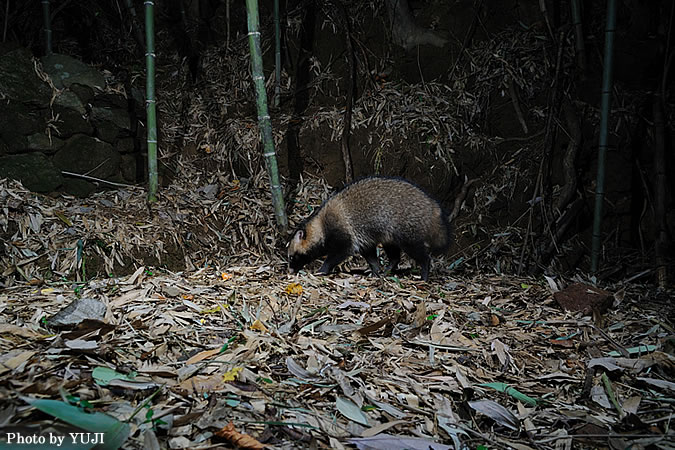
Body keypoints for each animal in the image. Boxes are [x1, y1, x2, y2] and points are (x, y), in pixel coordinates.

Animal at [288, 177, 452, 280]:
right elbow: (369, 254)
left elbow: (340, 252)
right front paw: (376, 269)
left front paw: (324, 268)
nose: (289, 271)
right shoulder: (363, 240)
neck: (319, 225)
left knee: (418, 252)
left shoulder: (341, 231)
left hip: (408, 229)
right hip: (390, 233)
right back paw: (389, 268)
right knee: (393, 253)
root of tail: (432, 205)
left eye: (291, 257)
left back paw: (424, 270)